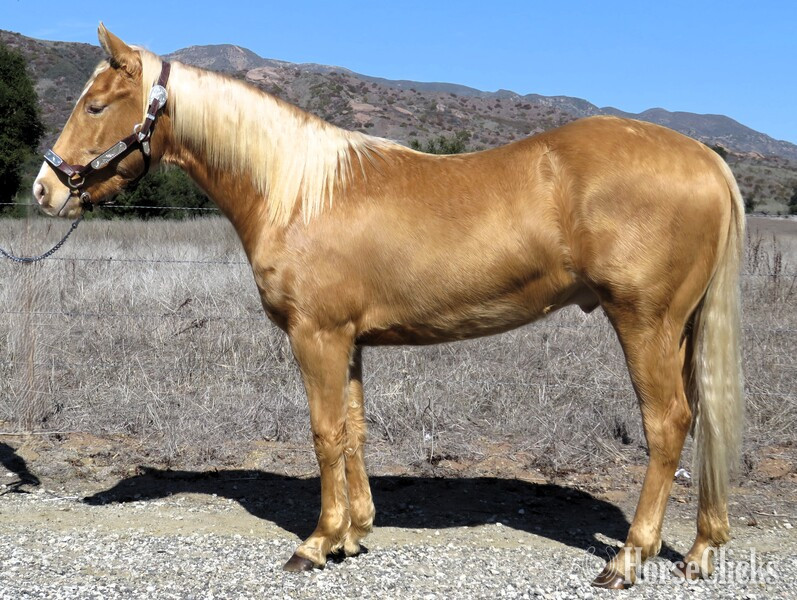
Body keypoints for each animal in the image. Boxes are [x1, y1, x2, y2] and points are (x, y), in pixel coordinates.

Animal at [33, 24, 744, 589]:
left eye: (96, 105)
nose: (43, 190)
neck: (299, 192)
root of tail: (706, 159)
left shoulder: (316, 336)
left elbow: (323, 434)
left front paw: (315, 544)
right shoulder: (347, 341)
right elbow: (353, 432)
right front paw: (354, 533)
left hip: (645, 322)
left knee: (667, 425)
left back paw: (627, 559)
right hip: (680, 329)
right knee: (701, 416)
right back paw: (700, 550)